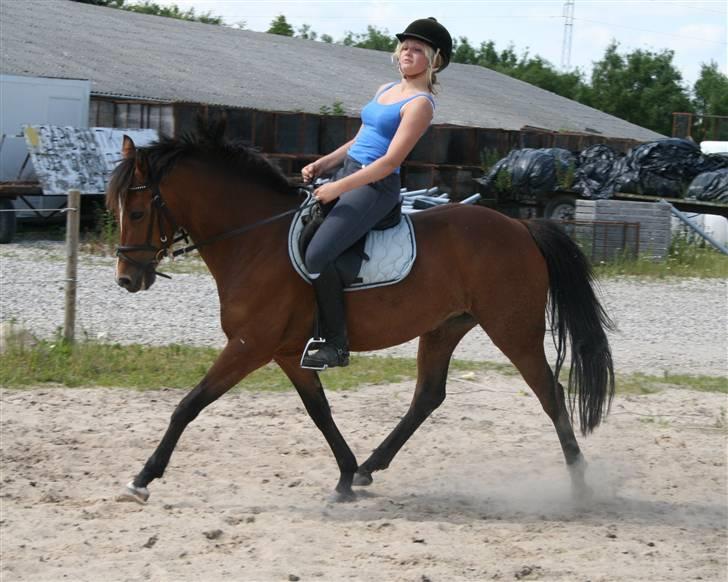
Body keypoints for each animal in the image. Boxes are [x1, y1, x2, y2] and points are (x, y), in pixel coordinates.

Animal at [108, 126, 616, 506]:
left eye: (137, 212)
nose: (127, 279)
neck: (255, 239)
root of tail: (520, 225)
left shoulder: (250, 346)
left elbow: (189, 404)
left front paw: (142, 479)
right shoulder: (289, 353)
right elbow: (319, 412)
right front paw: (345, 476)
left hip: (512, 329)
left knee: (549, 392)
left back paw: (579, 486)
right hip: (444, 328)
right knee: (427, 397)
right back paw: (370, 469)